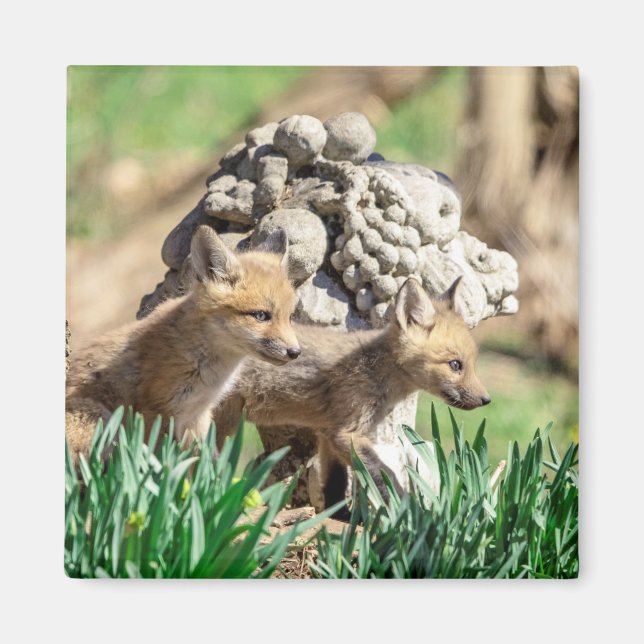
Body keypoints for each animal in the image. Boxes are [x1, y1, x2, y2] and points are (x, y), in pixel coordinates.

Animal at [65, 225, 301, 463]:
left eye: (290, 317)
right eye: (261, 315)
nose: (295, 352)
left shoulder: (197, 414)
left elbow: (202, 463)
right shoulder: (155, 411)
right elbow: (156, 461)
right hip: (101, 420)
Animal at [213, 276, 490, 510]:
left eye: (472, 364)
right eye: (455, 365)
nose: (486, 400)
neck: (376, 371)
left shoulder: (329, 432)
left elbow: (335, 483)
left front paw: (336, 516)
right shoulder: (346, 433)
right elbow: (384, 474)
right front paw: (409, 512)